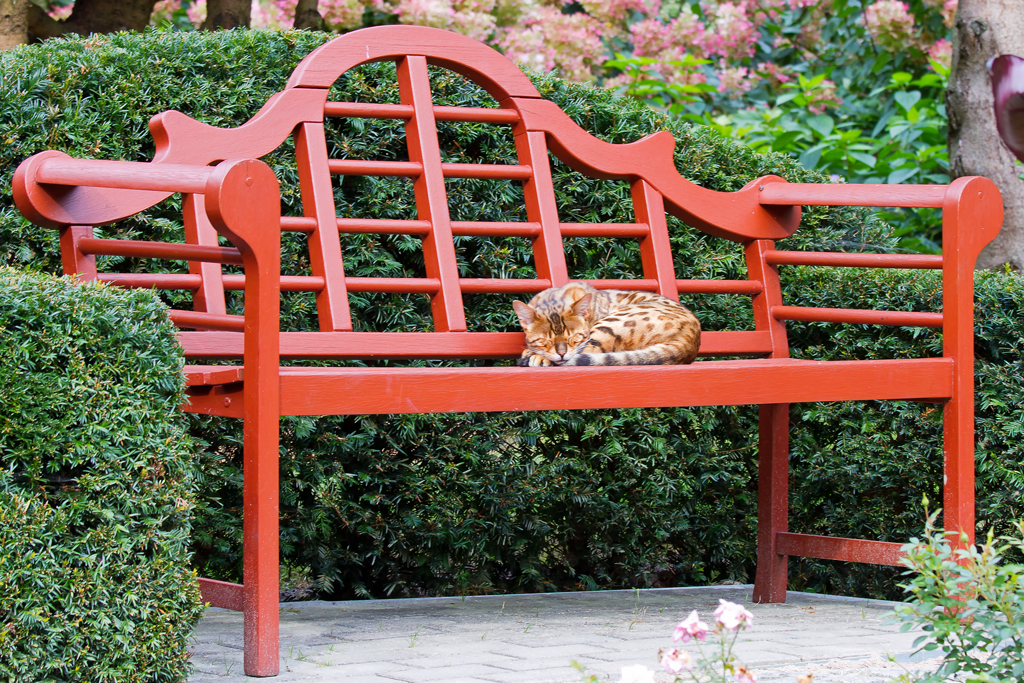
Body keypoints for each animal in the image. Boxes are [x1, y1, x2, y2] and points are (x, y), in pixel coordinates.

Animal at [512, 282, 704, 366]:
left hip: (611, 324)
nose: (561, 354)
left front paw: (536, 355)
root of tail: (690, 340)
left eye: (574, 337)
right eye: (545, 341)